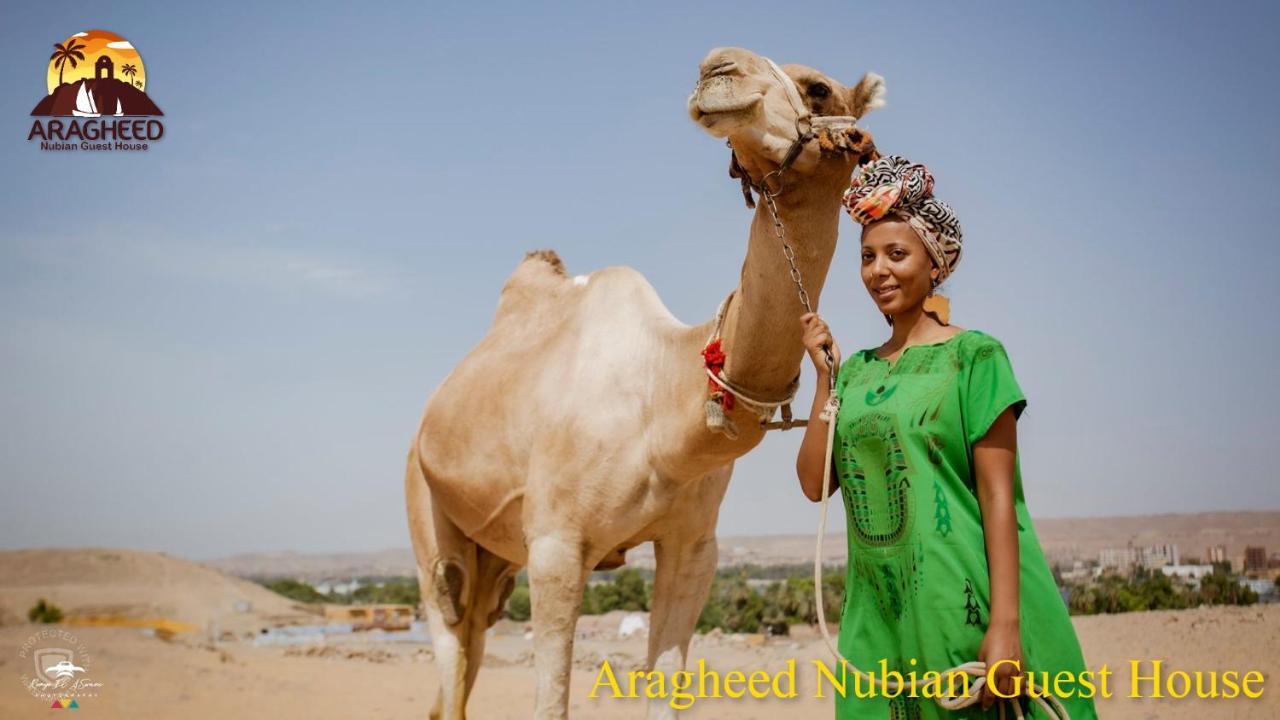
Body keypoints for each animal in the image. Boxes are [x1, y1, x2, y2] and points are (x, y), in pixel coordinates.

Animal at [404, 47, 885, 712]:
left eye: (818, 88)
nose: (717, 68)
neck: (664, 401)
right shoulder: (556, 545)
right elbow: (551, 701)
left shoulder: (694, 547)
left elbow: (666, 690)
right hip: (424, 499)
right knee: (449, 627)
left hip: (495, 561)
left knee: (472, 632)